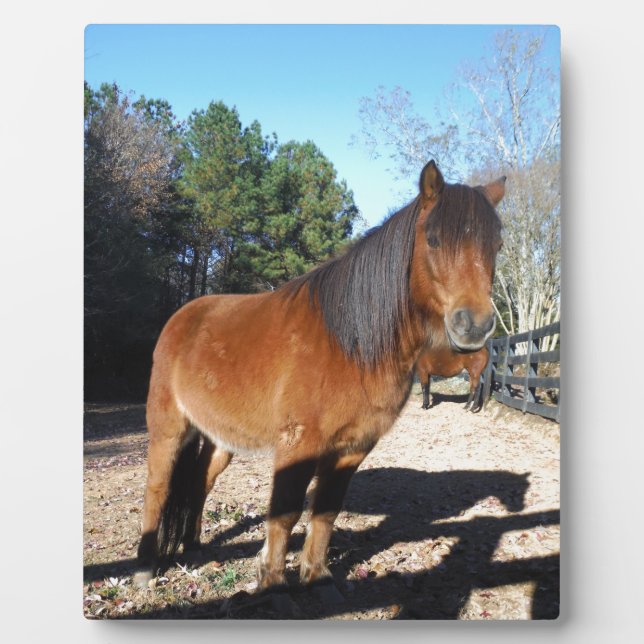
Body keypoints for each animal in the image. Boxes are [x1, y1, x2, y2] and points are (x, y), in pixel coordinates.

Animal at [134, 160, 506, 594]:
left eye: (496, 245)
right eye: (433, 239)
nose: (475, 325)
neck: (352, 343)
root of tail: (181, 318)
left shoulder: (352, 448)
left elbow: (326, 510)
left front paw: (316, 575)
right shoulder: (299, 445)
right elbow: (285, 512)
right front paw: (272, 580)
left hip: (220, 438)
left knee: (199, 483)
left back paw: (192, 546)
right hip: (168, 430)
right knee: (157, 489)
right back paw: (145, 568)